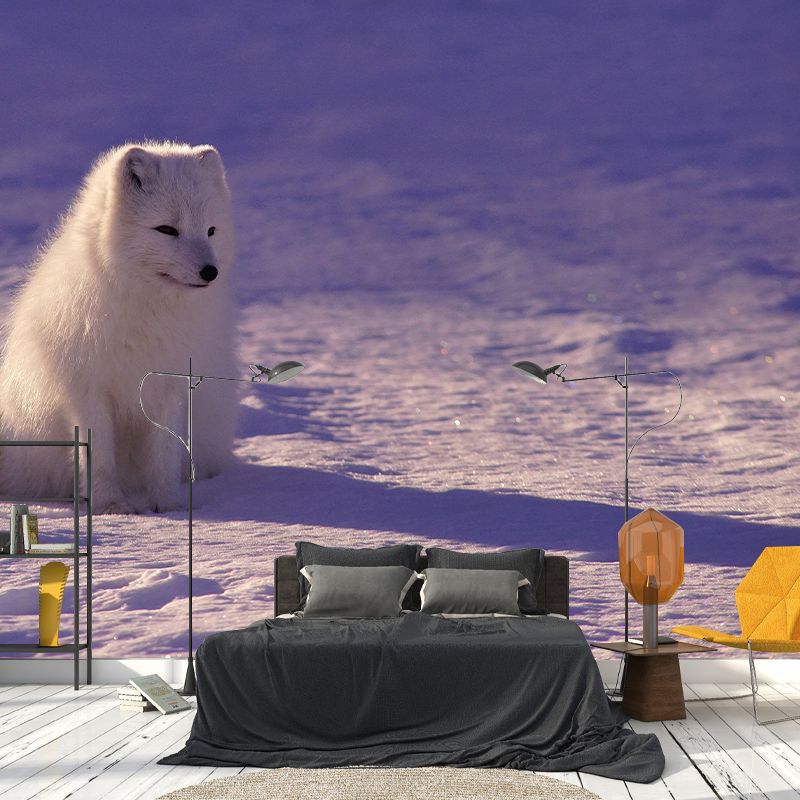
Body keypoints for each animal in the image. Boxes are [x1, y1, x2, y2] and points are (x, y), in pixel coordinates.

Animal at [0, 142, 239, 513]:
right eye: (167, 230)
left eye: (211, 231)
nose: (210, 272)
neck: (148, 311)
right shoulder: (88, 390)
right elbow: (98, 456)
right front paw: (110, 506)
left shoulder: (169, 386)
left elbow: (164, 453)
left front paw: (168, 505)